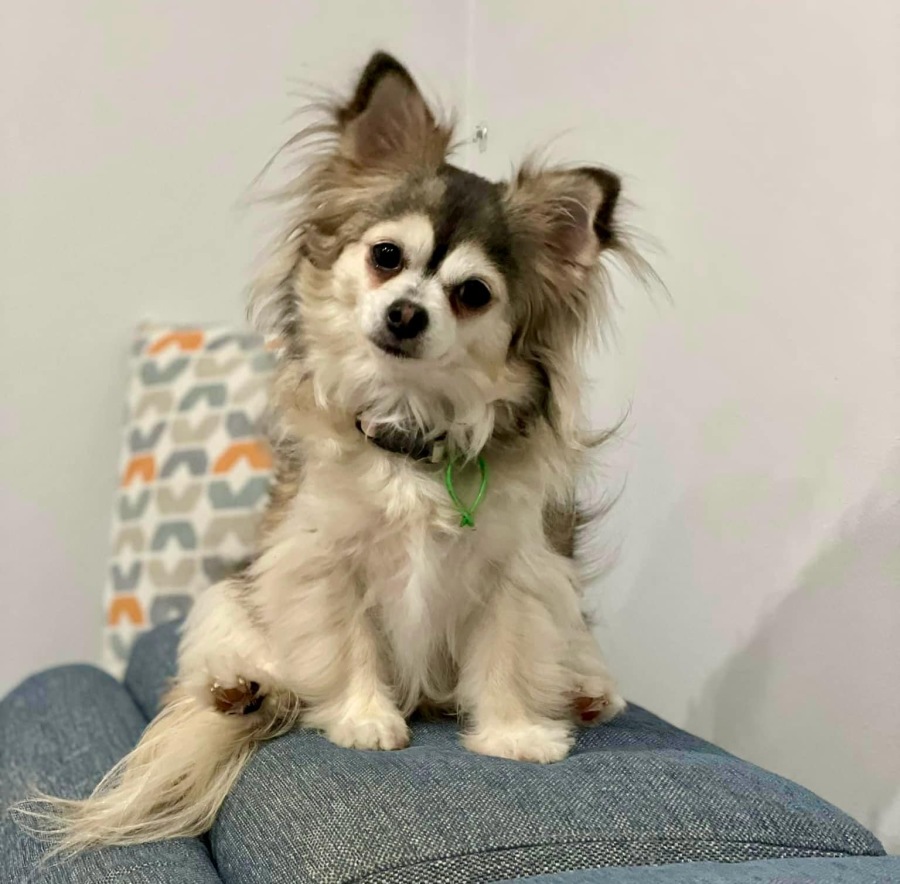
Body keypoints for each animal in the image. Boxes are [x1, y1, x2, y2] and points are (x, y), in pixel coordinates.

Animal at [24, 51, 637, 853]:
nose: (405, 313)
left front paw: (515, 734)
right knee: (226, 632)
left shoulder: (521, 572)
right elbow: (345, 643)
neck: (410, 442)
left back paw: (589, 691)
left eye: (473, 294)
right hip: (239, 588)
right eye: (386, 256)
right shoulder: (317, 557)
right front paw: (363, 718)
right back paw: (239, 681)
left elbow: (511, 651)